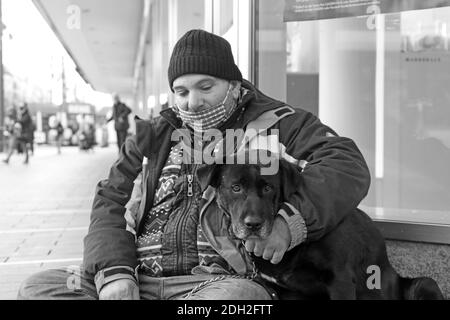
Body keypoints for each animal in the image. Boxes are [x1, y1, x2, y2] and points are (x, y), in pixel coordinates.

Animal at [196, 156, 442, 298]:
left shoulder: (340, 281)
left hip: (424, 284)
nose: (253, 224)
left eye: (268, 188)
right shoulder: (283, 292)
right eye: (235, 187)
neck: (293, 248)